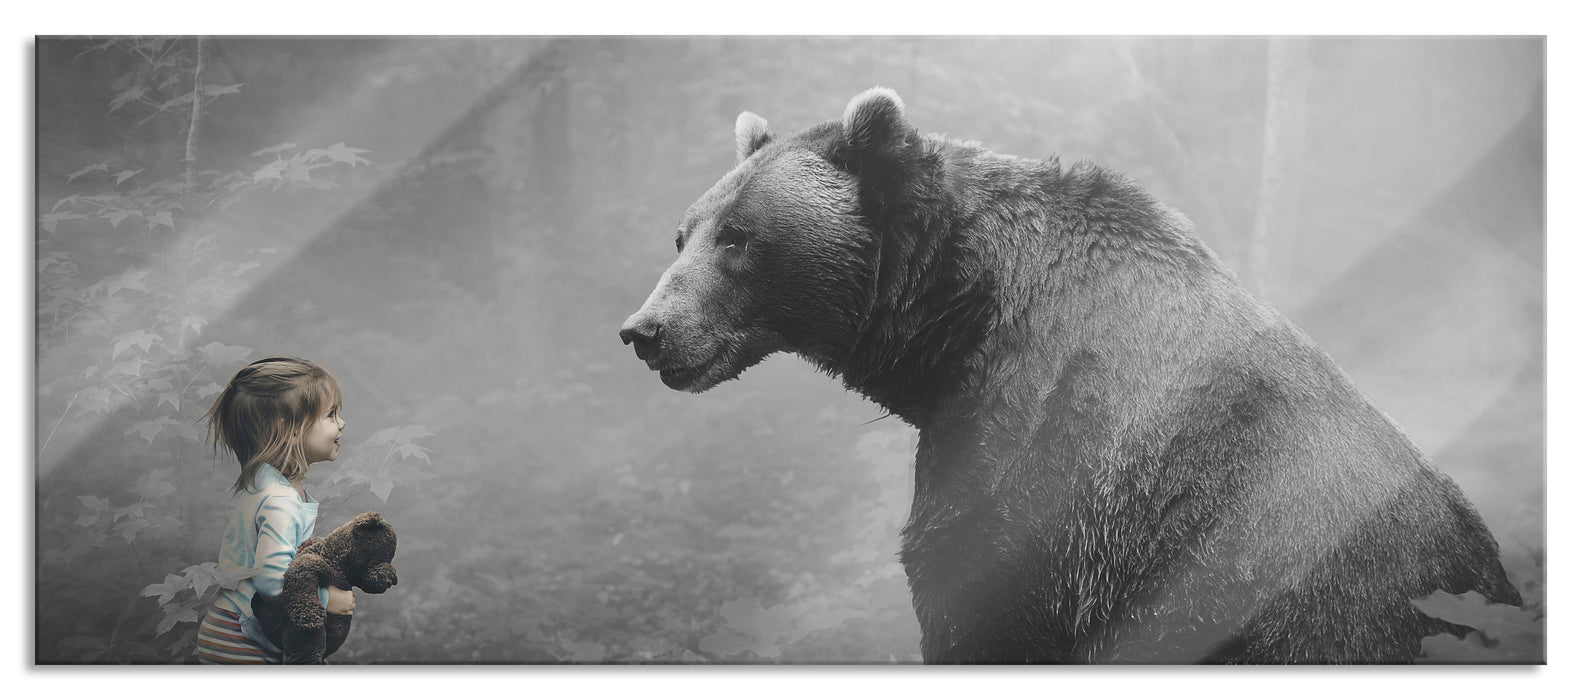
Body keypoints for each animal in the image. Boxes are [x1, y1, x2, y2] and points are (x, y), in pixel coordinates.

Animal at [251, 512, 398, 664]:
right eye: (382, 557)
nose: (390, 581)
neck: (338, 560)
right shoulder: (315, 564)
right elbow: (302, 573)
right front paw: (310, 618)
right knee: (306, 646)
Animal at [619, 87, 1521, 663]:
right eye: (683, 234)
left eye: (739, 238)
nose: (645, 332)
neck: (954, 325)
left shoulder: (1042, 463)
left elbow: (978, 599)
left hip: (1331, 609)